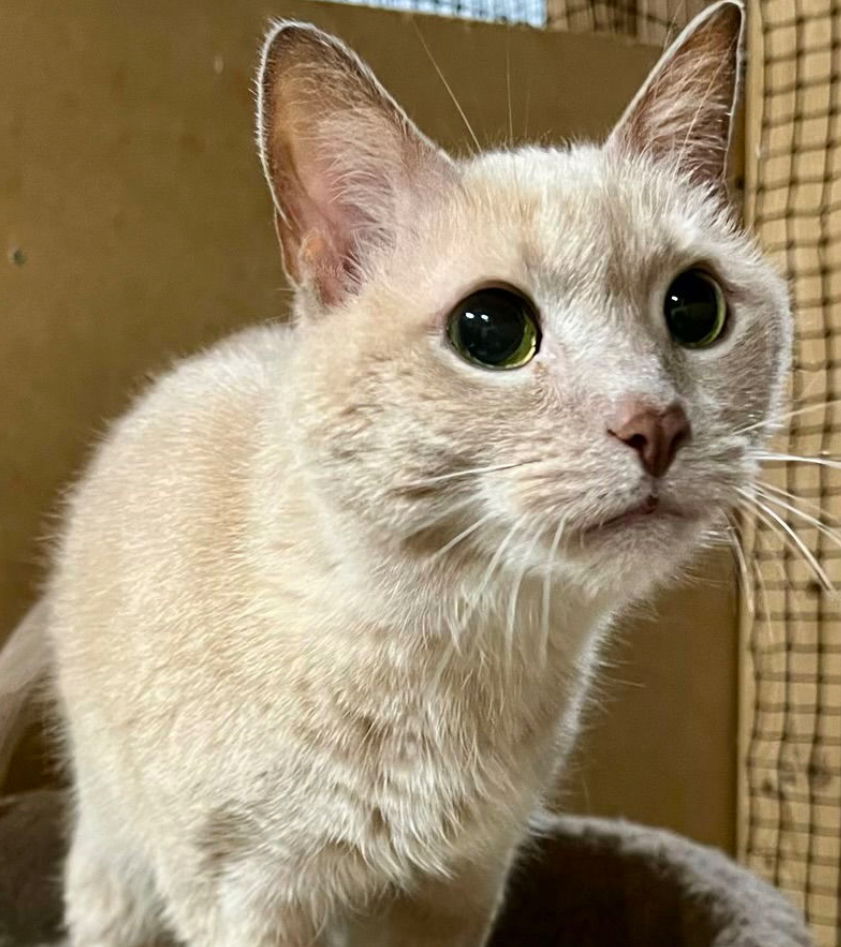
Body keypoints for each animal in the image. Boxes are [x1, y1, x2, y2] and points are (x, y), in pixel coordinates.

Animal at [0, 1, 792, 947]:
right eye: (491, 331)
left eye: (694, 307)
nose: (656, 423)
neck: (451, 636)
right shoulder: (246, 898)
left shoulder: (457, 890)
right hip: (117, 864)